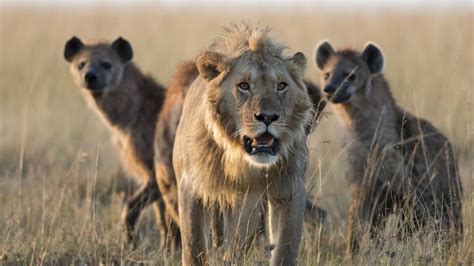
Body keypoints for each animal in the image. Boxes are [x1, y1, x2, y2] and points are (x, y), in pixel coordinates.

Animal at [174, 23, 314, 264]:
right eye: (244, 86)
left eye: (281, 86)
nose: (267, 116)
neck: (240, 159)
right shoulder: (190, 186)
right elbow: (193, 246)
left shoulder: (287, 189)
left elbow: (285, 249)